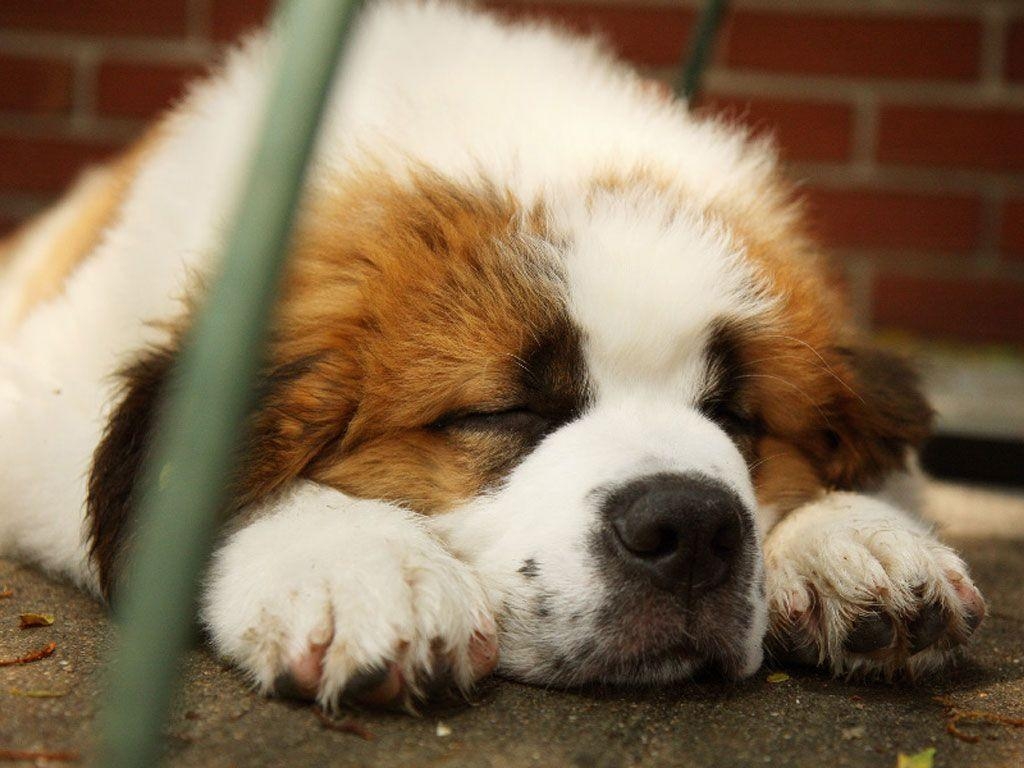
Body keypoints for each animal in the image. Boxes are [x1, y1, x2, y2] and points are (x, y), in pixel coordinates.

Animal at [0, 0, 983, 712]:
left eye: (736, 417)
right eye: (505, 412)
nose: (693, 527)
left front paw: (855, 540)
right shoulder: (48, 397)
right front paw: (361, 565)